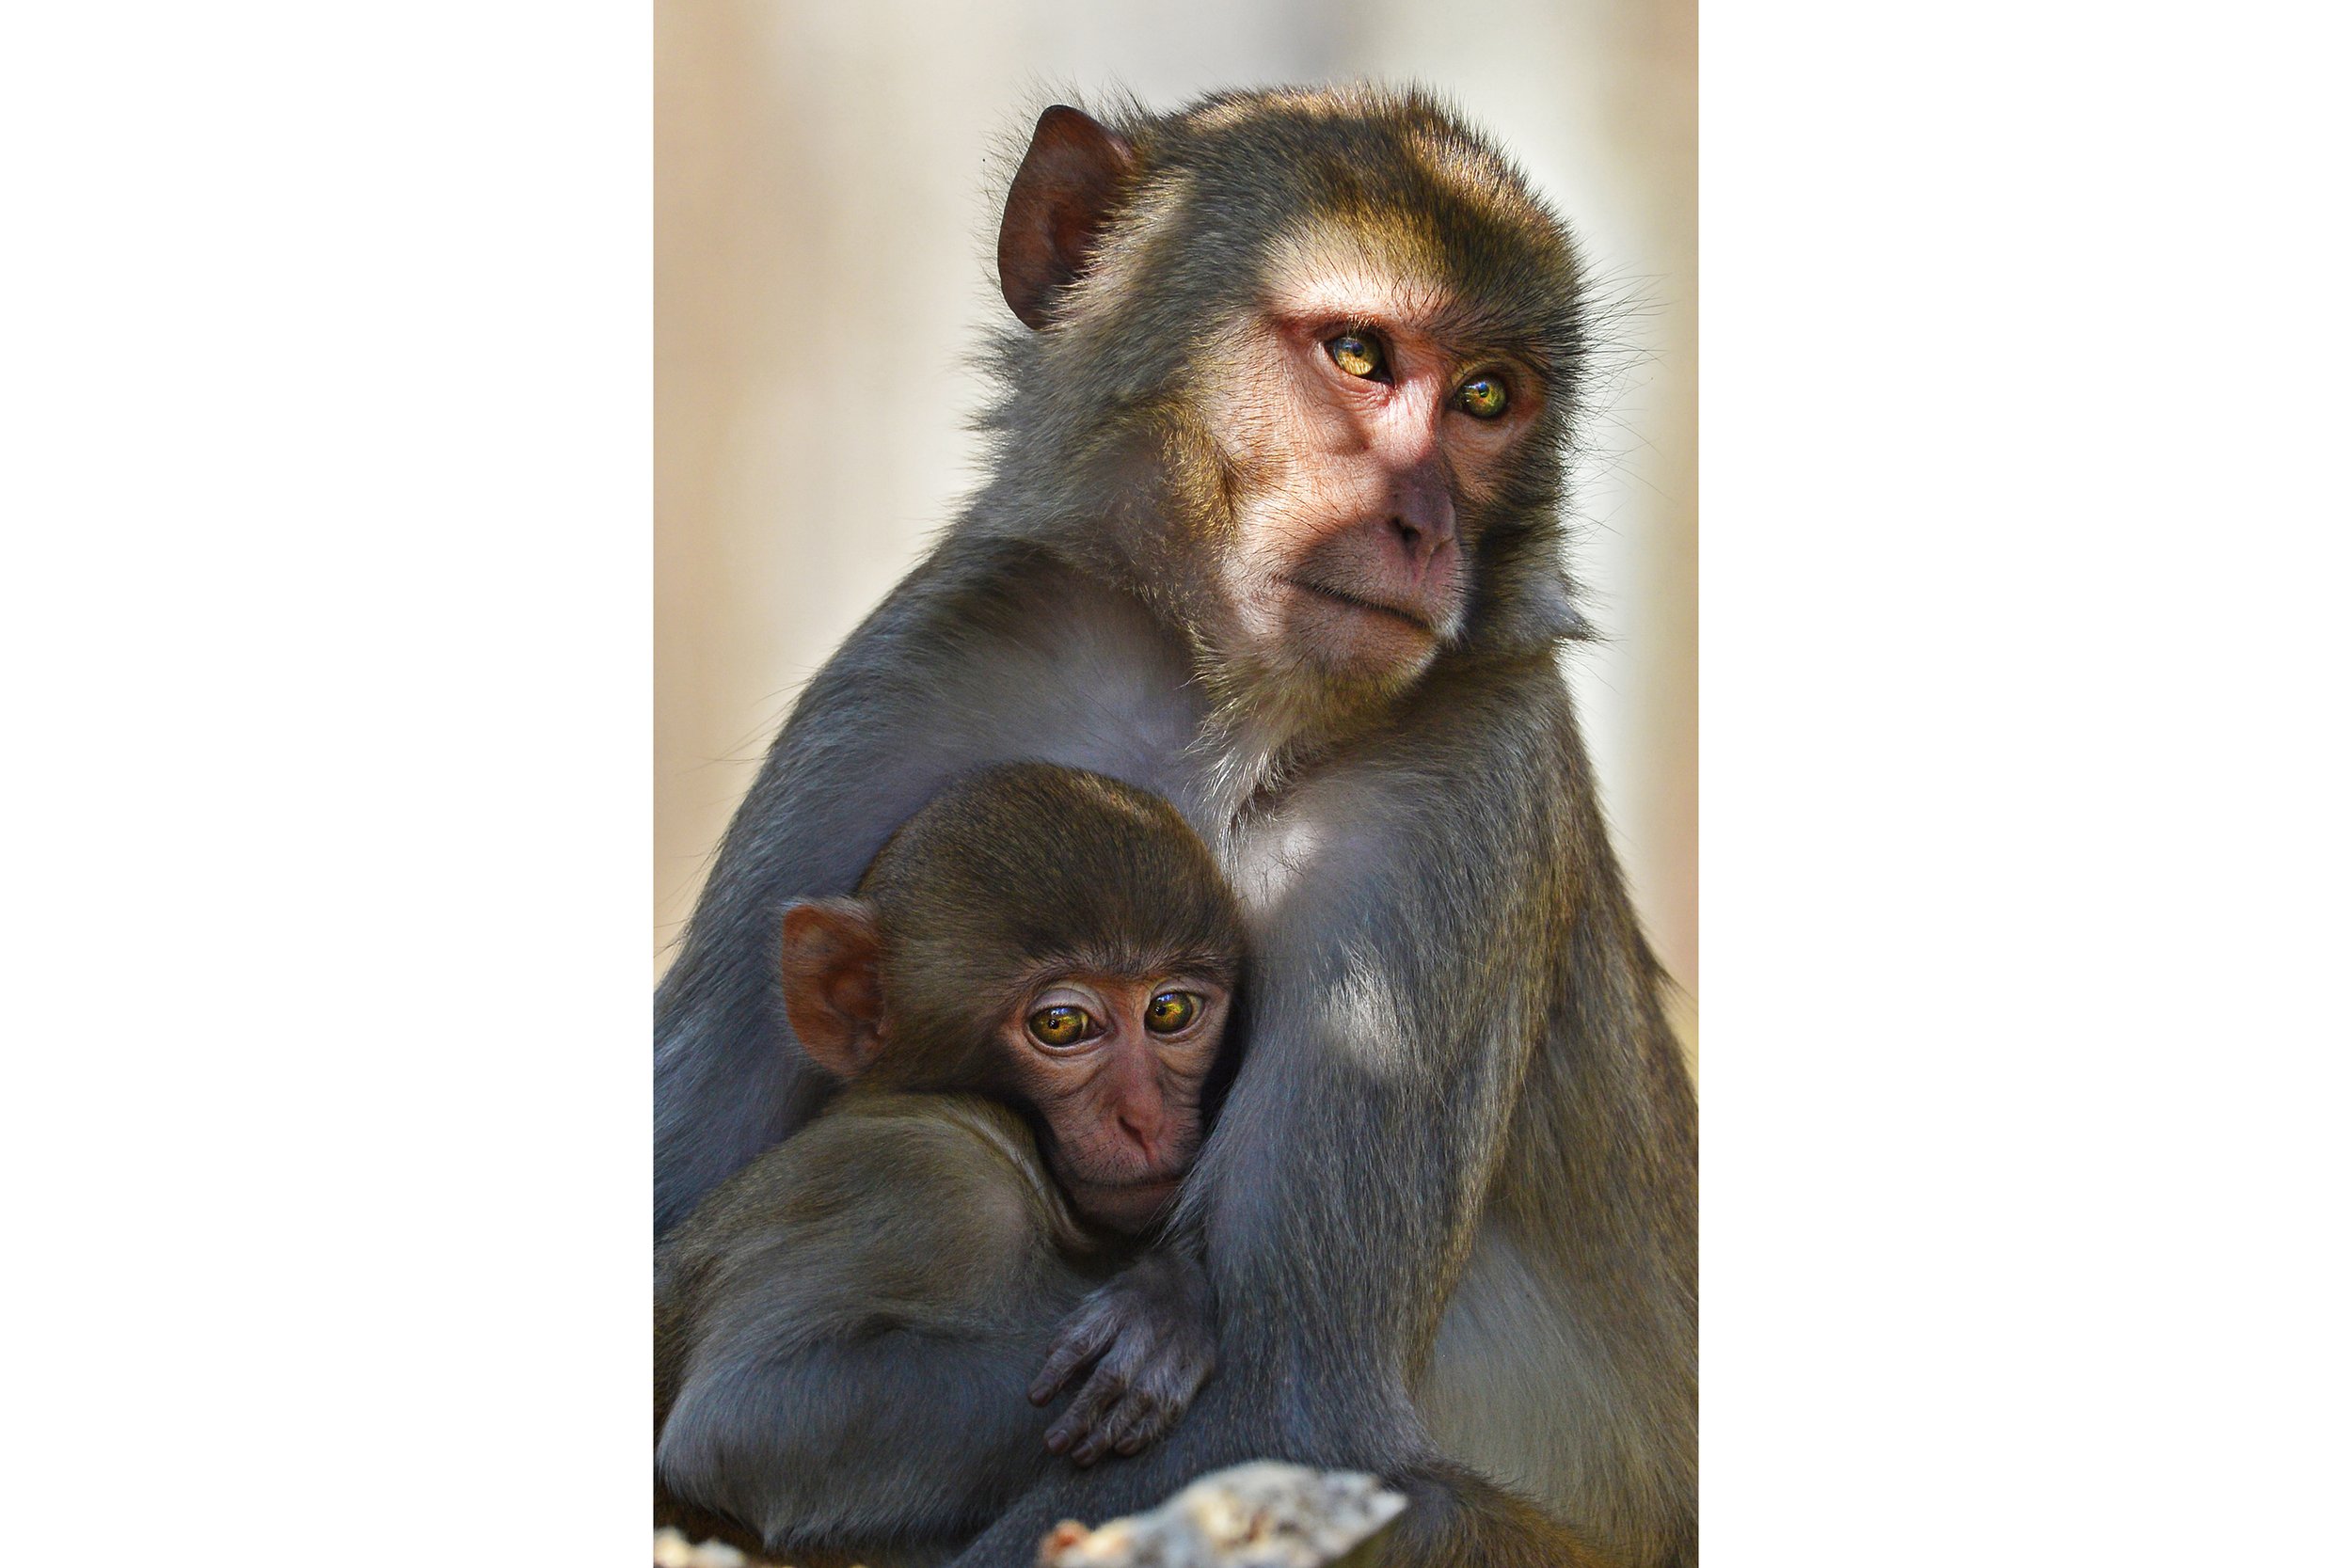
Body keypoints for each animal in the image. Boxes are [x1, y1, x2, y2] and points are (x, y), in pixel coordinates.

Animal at [657, 762, 1243, 1563]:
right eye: (1063, 1024)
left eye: (1171, 1011)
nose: (1145, 1116)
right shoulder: (925, 1187)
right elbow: (741, 1421)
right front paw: (1159, 1326)